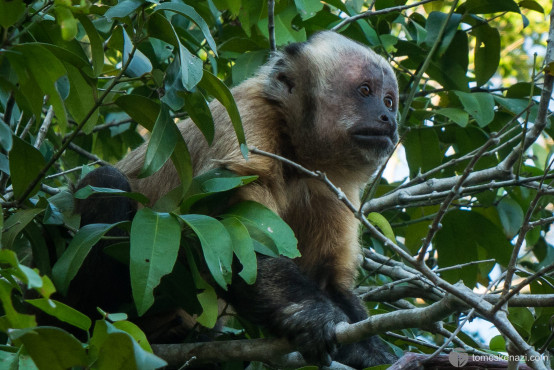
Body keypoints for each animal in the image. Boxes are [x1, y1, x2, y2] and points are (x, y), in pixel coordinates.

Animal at [73, 31, 398, 368]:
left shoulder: (329, 186)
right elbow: (233, 237)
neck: (294, 152)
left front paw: (371, 352)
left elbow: (323, 277)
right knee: (106, 182)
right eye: (365, 91)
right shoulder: (249, 120)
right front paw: (313, 316)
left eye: (389, 100)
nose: (388, 117)